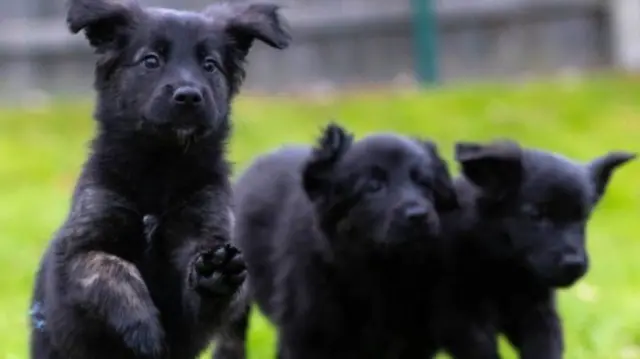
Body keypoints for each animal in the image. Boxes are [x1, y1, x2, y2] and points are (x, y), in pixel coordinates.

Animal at [28, 0, 292, 359]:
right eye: (150, 60)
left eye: (209, 65)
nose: (189, 96)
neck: (161, 167)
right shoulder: (80, 250)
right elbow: (112, 269)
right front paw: (144, 327)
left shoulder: (205, 230)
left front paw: (215, 275)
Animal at [212, 124, 458, 359]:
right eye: (373, 187)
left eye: (425, 184)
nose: (419, 216)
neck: (380, 272)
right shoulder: (306, 336)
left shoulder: (414, 341)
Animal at [436, 140, 636, 359]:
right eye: (537, 215)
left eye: (583, 218)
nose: (574, 264)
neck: (507, 271)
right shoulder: (463, 320)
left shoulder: (539, 314)